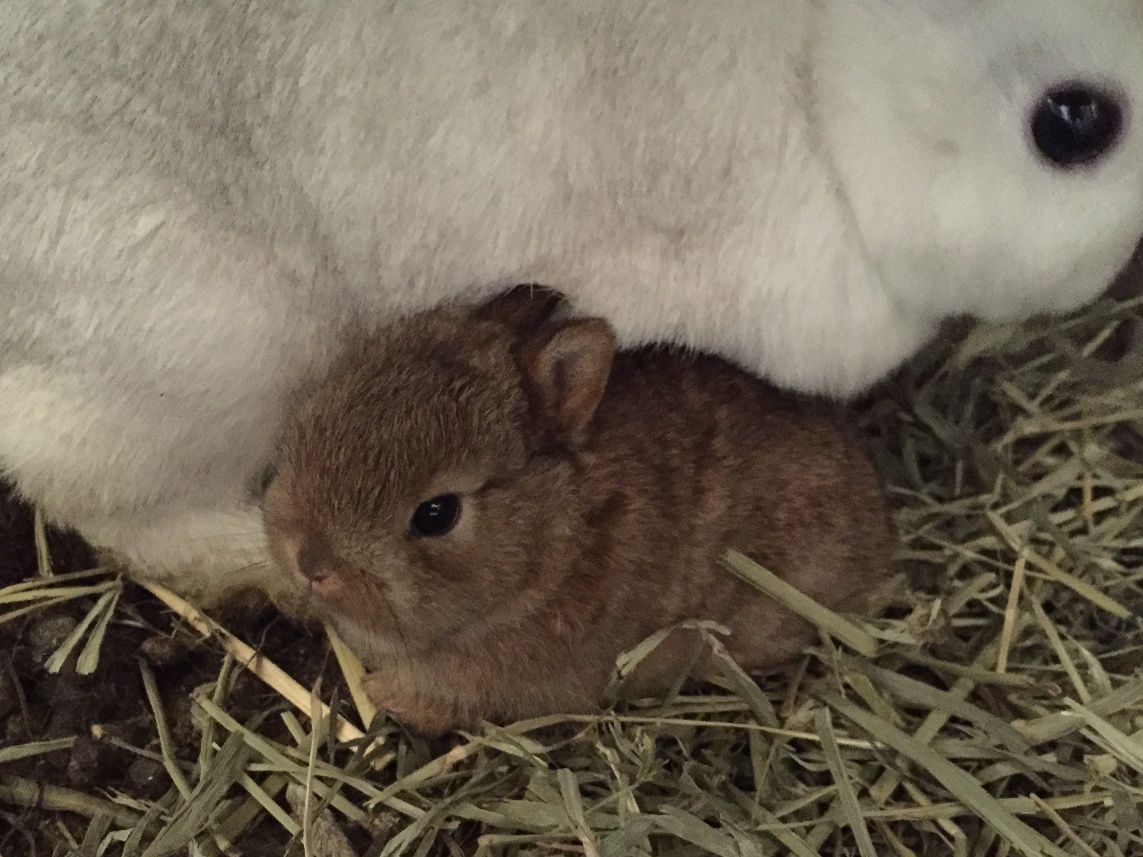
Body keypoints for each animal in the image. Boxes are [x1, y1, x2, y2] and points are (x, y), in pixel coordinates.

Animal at [0, 0, 1138, 603]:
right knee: (118, 511)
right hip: (212, 348)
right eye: (1073, 120)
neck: (820, 67)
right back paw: (270, 568)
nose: (1112, 267)